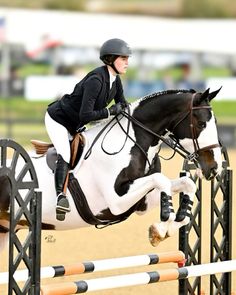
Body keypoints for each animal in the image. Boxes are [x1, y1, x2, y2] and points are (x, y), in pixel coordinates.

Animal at [0, 87, 223, 250]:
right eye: (201, 124)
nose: (214, 168)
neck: (134, 142)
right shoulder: (116, 201)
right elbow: (161, 180)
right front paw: (161, 226)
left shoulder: (142, 202)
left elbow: (185, 184)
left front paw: (167, 227)